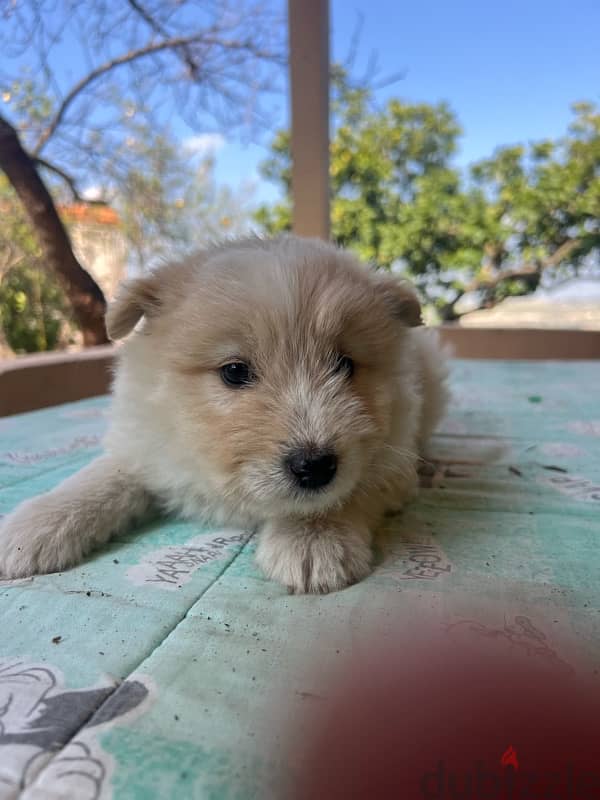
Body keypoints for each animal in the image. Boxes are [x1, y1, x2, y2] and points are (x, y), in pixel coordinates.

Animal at [0, 234, 450, 592]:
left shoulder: (392, 459)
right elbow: (101, 478)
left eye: (345, 365)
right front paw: (32, 527)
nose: (315, 466)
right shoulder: (146, 444)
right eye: (234, 371)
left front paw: (313, 539)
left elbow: (345, 493)